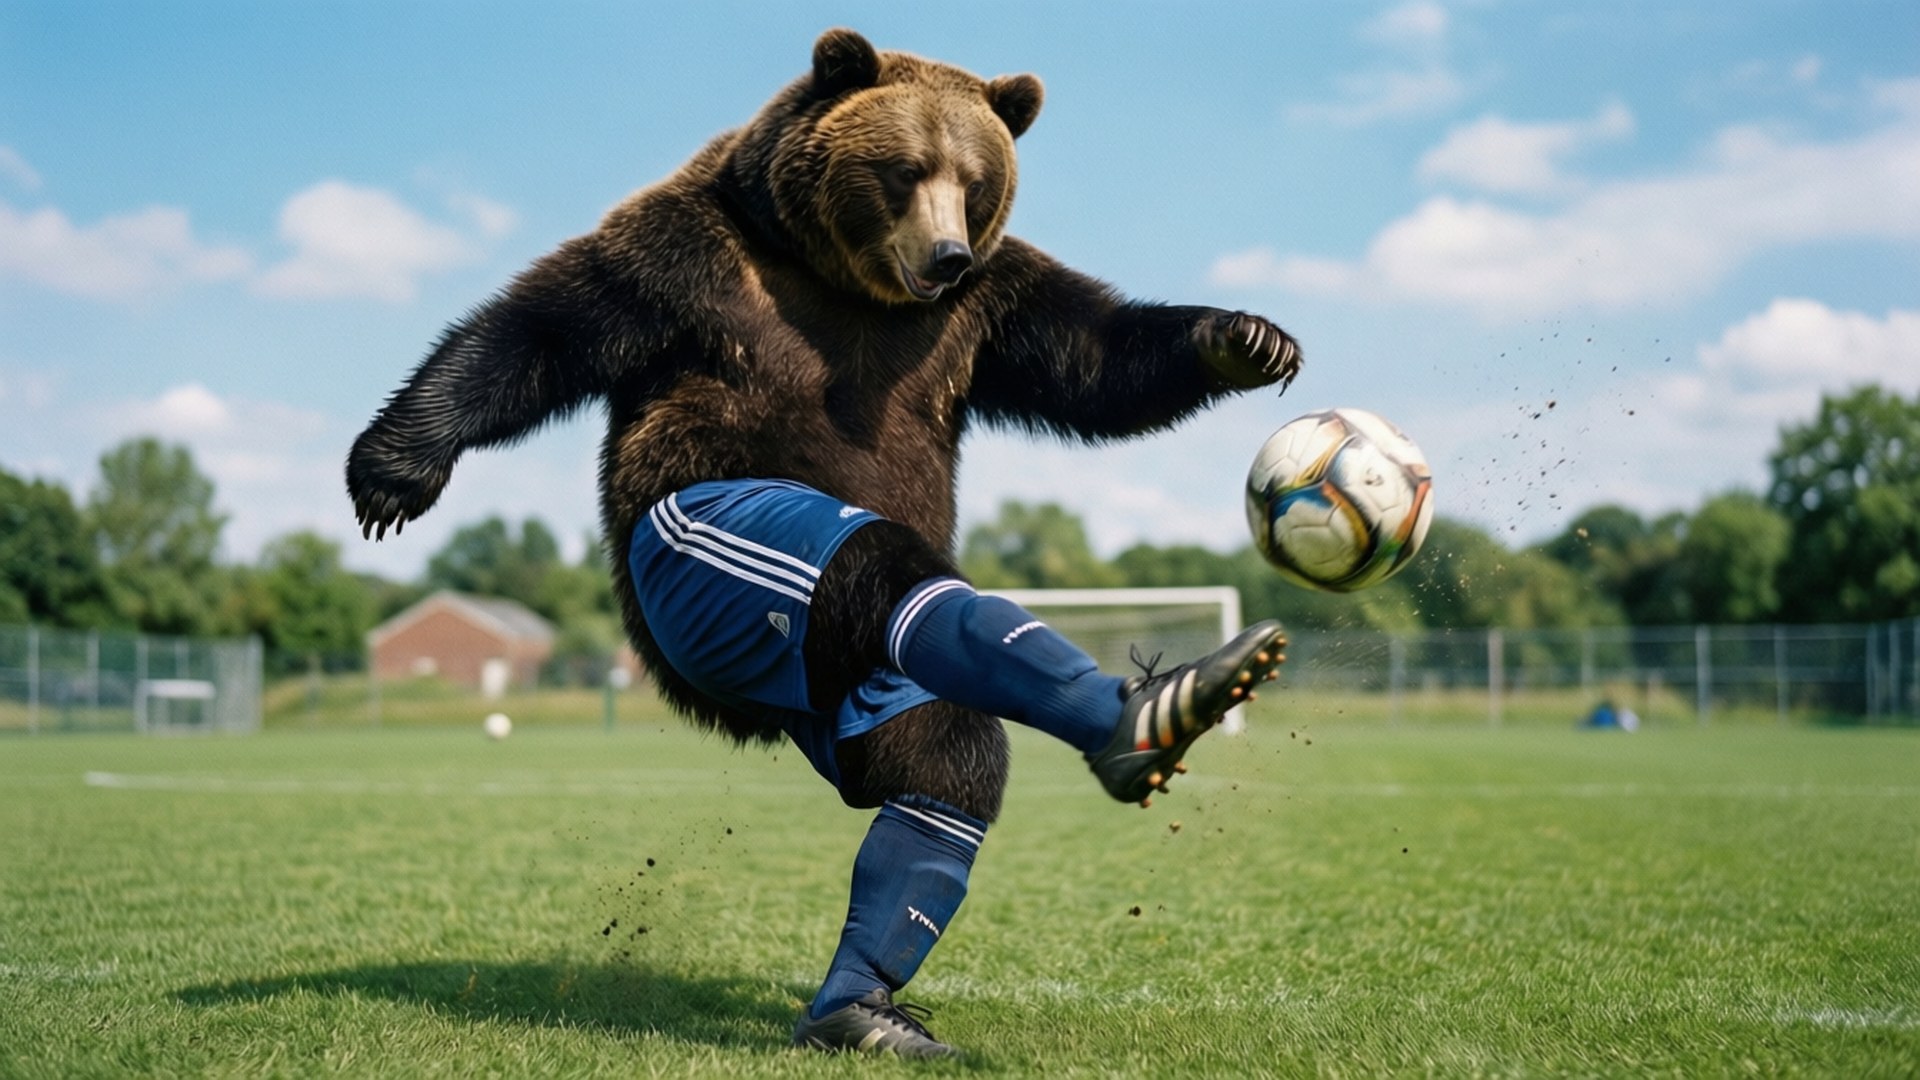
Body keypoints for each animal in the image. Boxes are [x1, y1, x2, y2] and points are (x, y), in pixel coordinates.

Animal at [348, 28, 1299, 1056]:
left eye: (974, 180)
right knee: (870, 569)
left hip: (861, 697)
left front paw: (1247, 337)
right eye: (904, 169)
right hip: (717, 579)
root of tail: (768, 715)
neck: (848, 282)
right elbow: (540, 328)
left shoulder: (988, 313)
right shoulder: (689, 270)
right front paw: (395, 466)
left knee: (941, 759)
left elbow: (1096, 358)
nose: (946, 255)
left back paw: (873, 995)